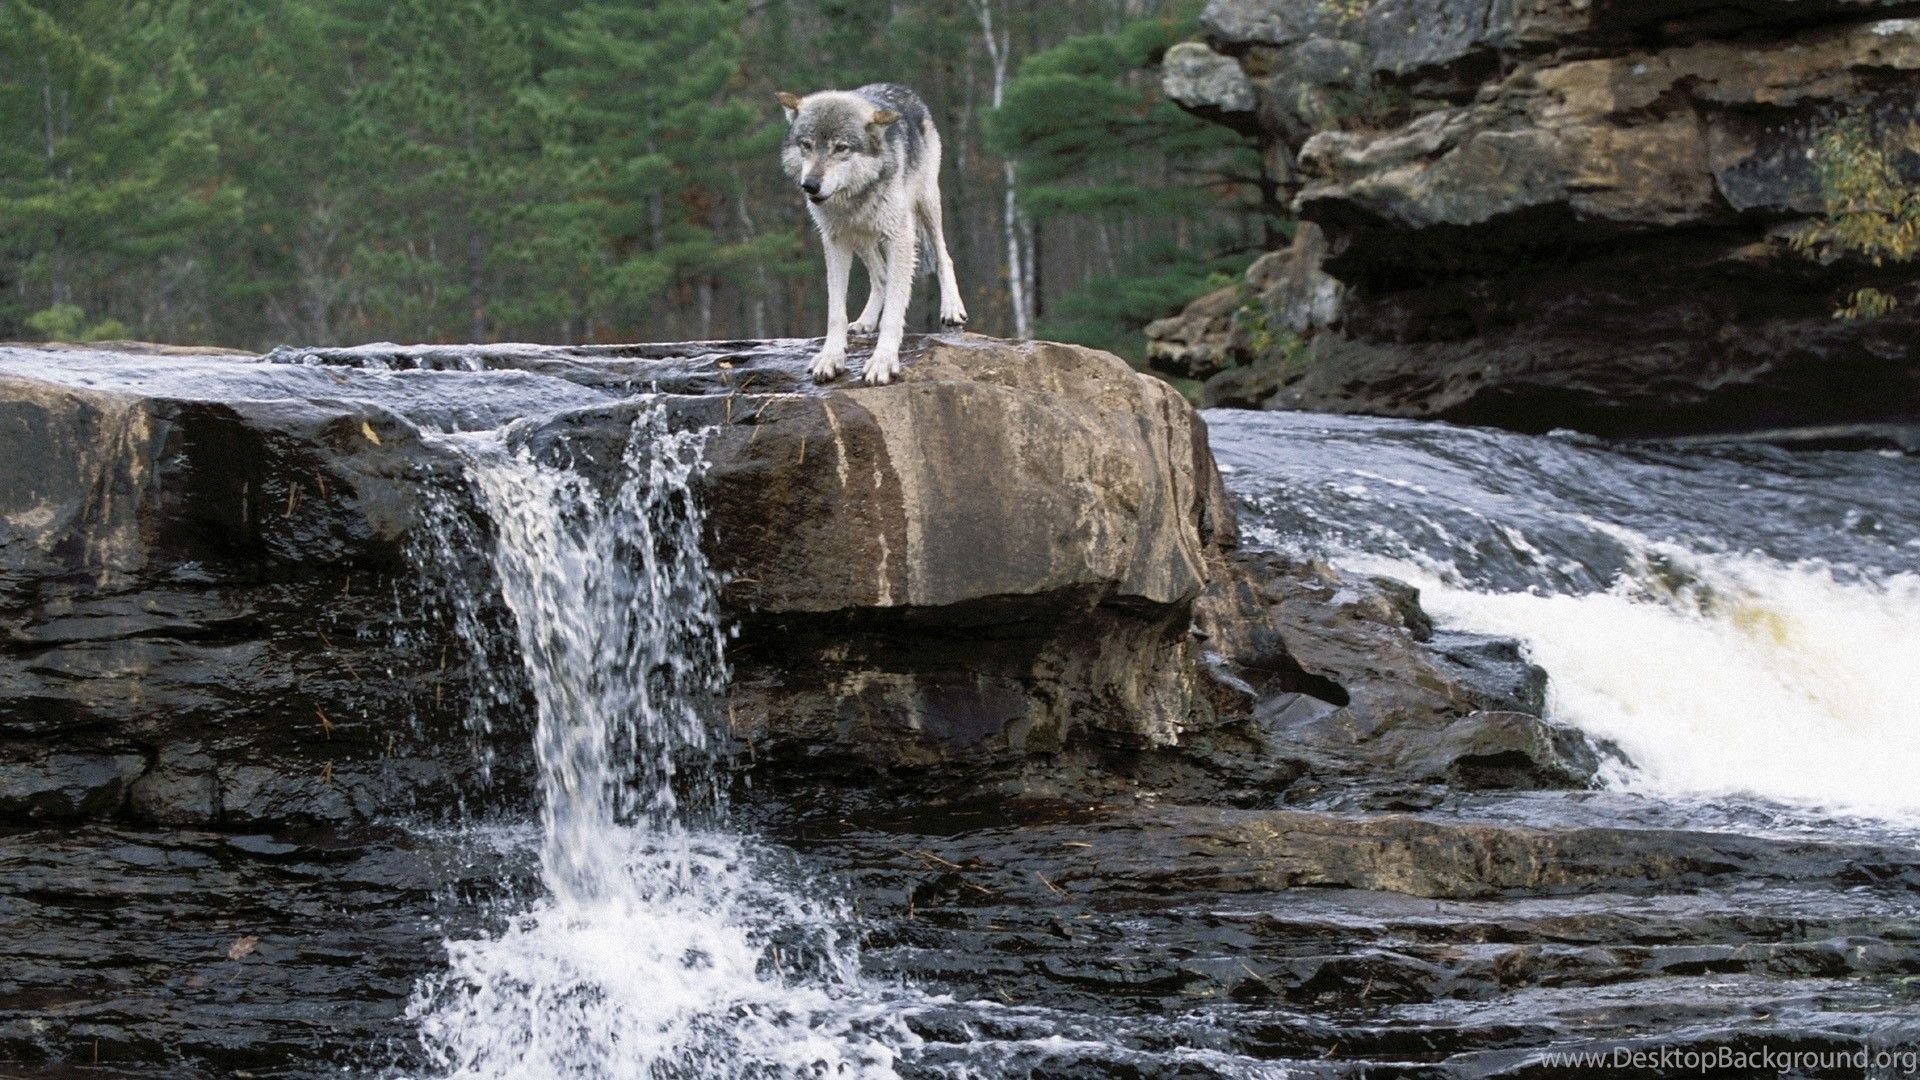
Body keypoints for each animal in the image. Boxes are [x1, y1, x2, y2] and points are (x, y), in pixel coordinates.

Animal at [778, 83, 967, 386]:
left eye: (841, 148)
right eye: (806, 145)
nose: (810, 185)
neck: (854, 195)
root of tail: (902, 88)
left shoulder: (899, 238)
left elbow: (893, 312)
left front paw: (883, 361)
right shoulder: (835, 240)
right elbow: (836, 312)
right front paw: (830, 357)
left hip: (926, 203)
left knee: (943, 256)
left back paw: (951, 308)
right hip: (861, 236)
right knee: (880, 276)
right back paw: (866, 321)